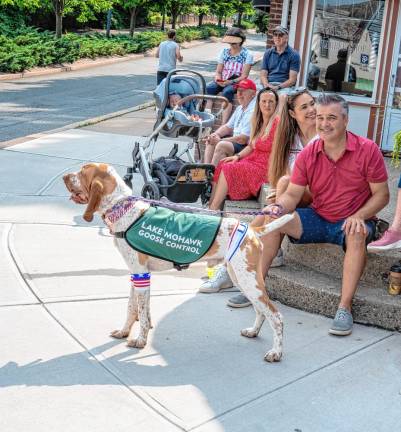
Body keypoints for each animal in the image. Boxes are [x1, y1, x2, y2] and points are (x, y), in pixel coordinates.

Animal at [64, 162, 292, 362]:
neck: (125, 210)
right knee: (261, 311)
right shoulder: (136, 275)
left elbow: (142, 314)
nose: (65, 176)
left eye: (82, 171)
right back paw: (253, 331)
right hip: (241, 278)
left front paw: (140, 340)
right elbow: (132, 308)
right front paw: (124, 332)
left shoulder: (141, 275)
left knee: (276, 316)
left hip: (248, 280)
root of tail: (251, 229)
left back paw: (276, 353)